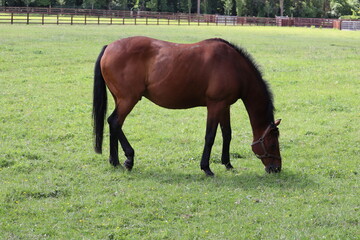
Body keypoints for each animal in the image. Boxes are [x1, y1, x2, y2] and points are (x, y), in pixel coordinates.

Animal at [92, 36, 282, 176]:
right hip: (128, 99)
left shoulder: (224, 106)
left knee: (114, 124)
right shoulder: (215, 105)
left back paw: (115, 161)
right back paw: (128, 159)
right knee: (115, 122)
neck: (234, 66)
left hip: (121, 99)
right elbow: (210, 136)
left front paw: (227, 163)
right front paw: (206, 168)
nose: (276, 168)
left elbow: (227, 134)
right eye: (273, 144)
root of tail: (109, 47)